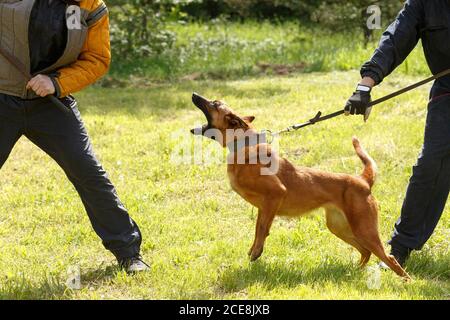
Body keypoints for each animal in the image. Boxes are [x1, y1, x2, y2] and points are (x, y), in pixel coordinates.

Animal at [190, 93, 412, 280]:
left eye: (214, 103)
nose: (194, 95)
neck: (244, 146)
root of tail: (363, 181)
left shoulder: (275, 195)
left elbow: (262, 229)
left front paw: (257, 252)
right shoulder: (264, 207)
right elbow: (258, 229)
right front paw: (254, 250)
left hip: (364, 229)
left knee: (388, 258)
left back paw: (406, 282)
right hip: (340, 227)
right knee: (366, 252)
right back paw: (353, 272)